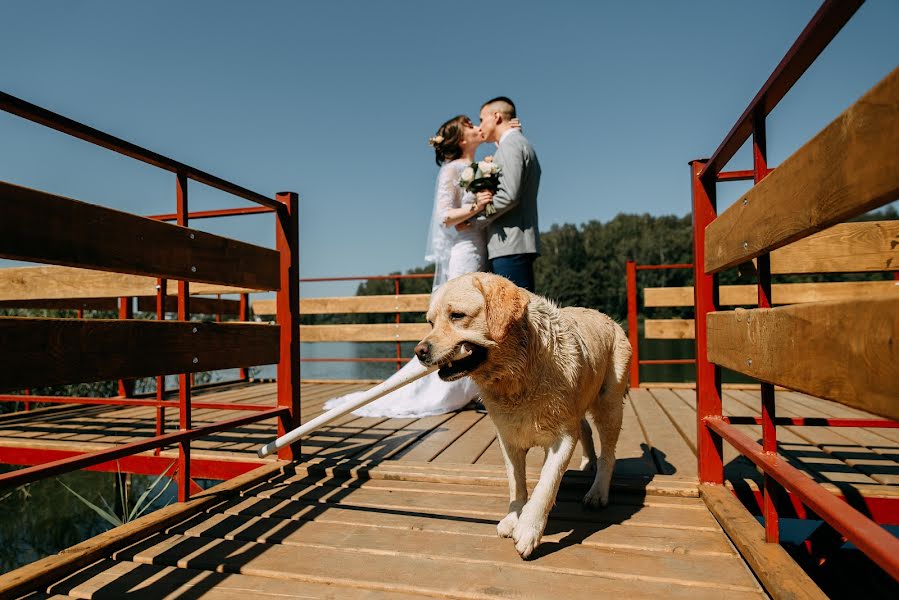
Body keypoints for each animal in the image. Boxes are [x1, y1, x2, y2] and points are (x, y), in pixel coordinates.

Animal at [414, 274, 632, 560]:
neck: (516, 376)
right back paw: (588, 462)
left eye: (457, 316)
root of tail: (607, 317)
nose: (420, 351)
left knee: (609, 454)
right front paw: (513, 518)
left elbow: (546, 484)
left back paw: (597, 492)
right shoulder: (508, 438)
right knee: (585, 428)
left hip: (609, 404)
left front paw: (529, 529)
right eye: (430, 322)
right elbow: (516, 483)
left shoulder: (563, 437)